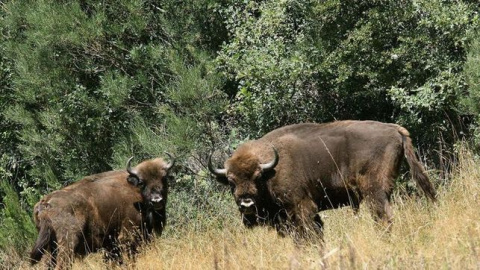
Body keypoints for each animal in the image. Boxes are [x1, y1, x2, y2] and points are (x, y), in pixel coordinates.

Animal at [29, 153, 174, 268]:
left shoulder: (112, 245)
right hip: (67, 245)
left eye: (164, 178)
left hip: (50, 249)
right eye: (142, 182)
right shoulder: (128, 237)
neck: (136, 192)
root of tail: (45, 203)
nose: (157, 200)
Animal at [208, 120, 436, 238]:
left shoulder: (301, 208)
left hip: (375, 191)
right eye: (231, 181)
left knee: (383, 217)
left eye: (257, 177)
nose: (246, 203)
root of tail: (395, 129)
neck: (271, 171)